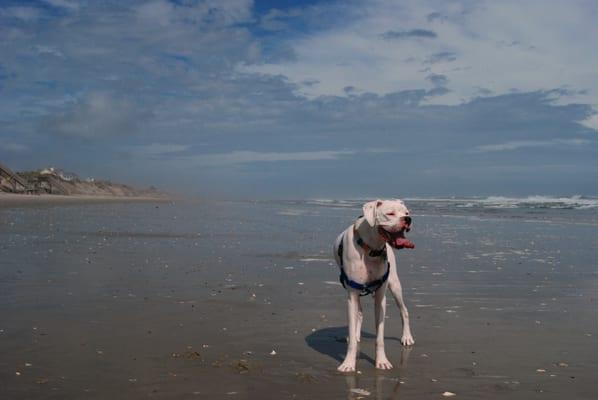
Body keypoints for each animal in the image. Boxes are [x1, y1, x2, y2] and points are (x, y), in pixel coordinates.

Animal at [332, 200, 418, 372]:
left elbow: (380, 337)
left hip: (394, 284)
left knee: (404, 311)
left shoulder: (380, 297)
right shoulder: (352, 295)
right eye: (390, 213)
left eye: (406, 212)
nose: (408, 219)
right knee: (359, 313)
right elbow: (353, 331)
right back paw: (356, 334)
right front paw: (348, 363)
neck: (371, 248)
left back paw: (406, 337)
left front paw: (382, 361)